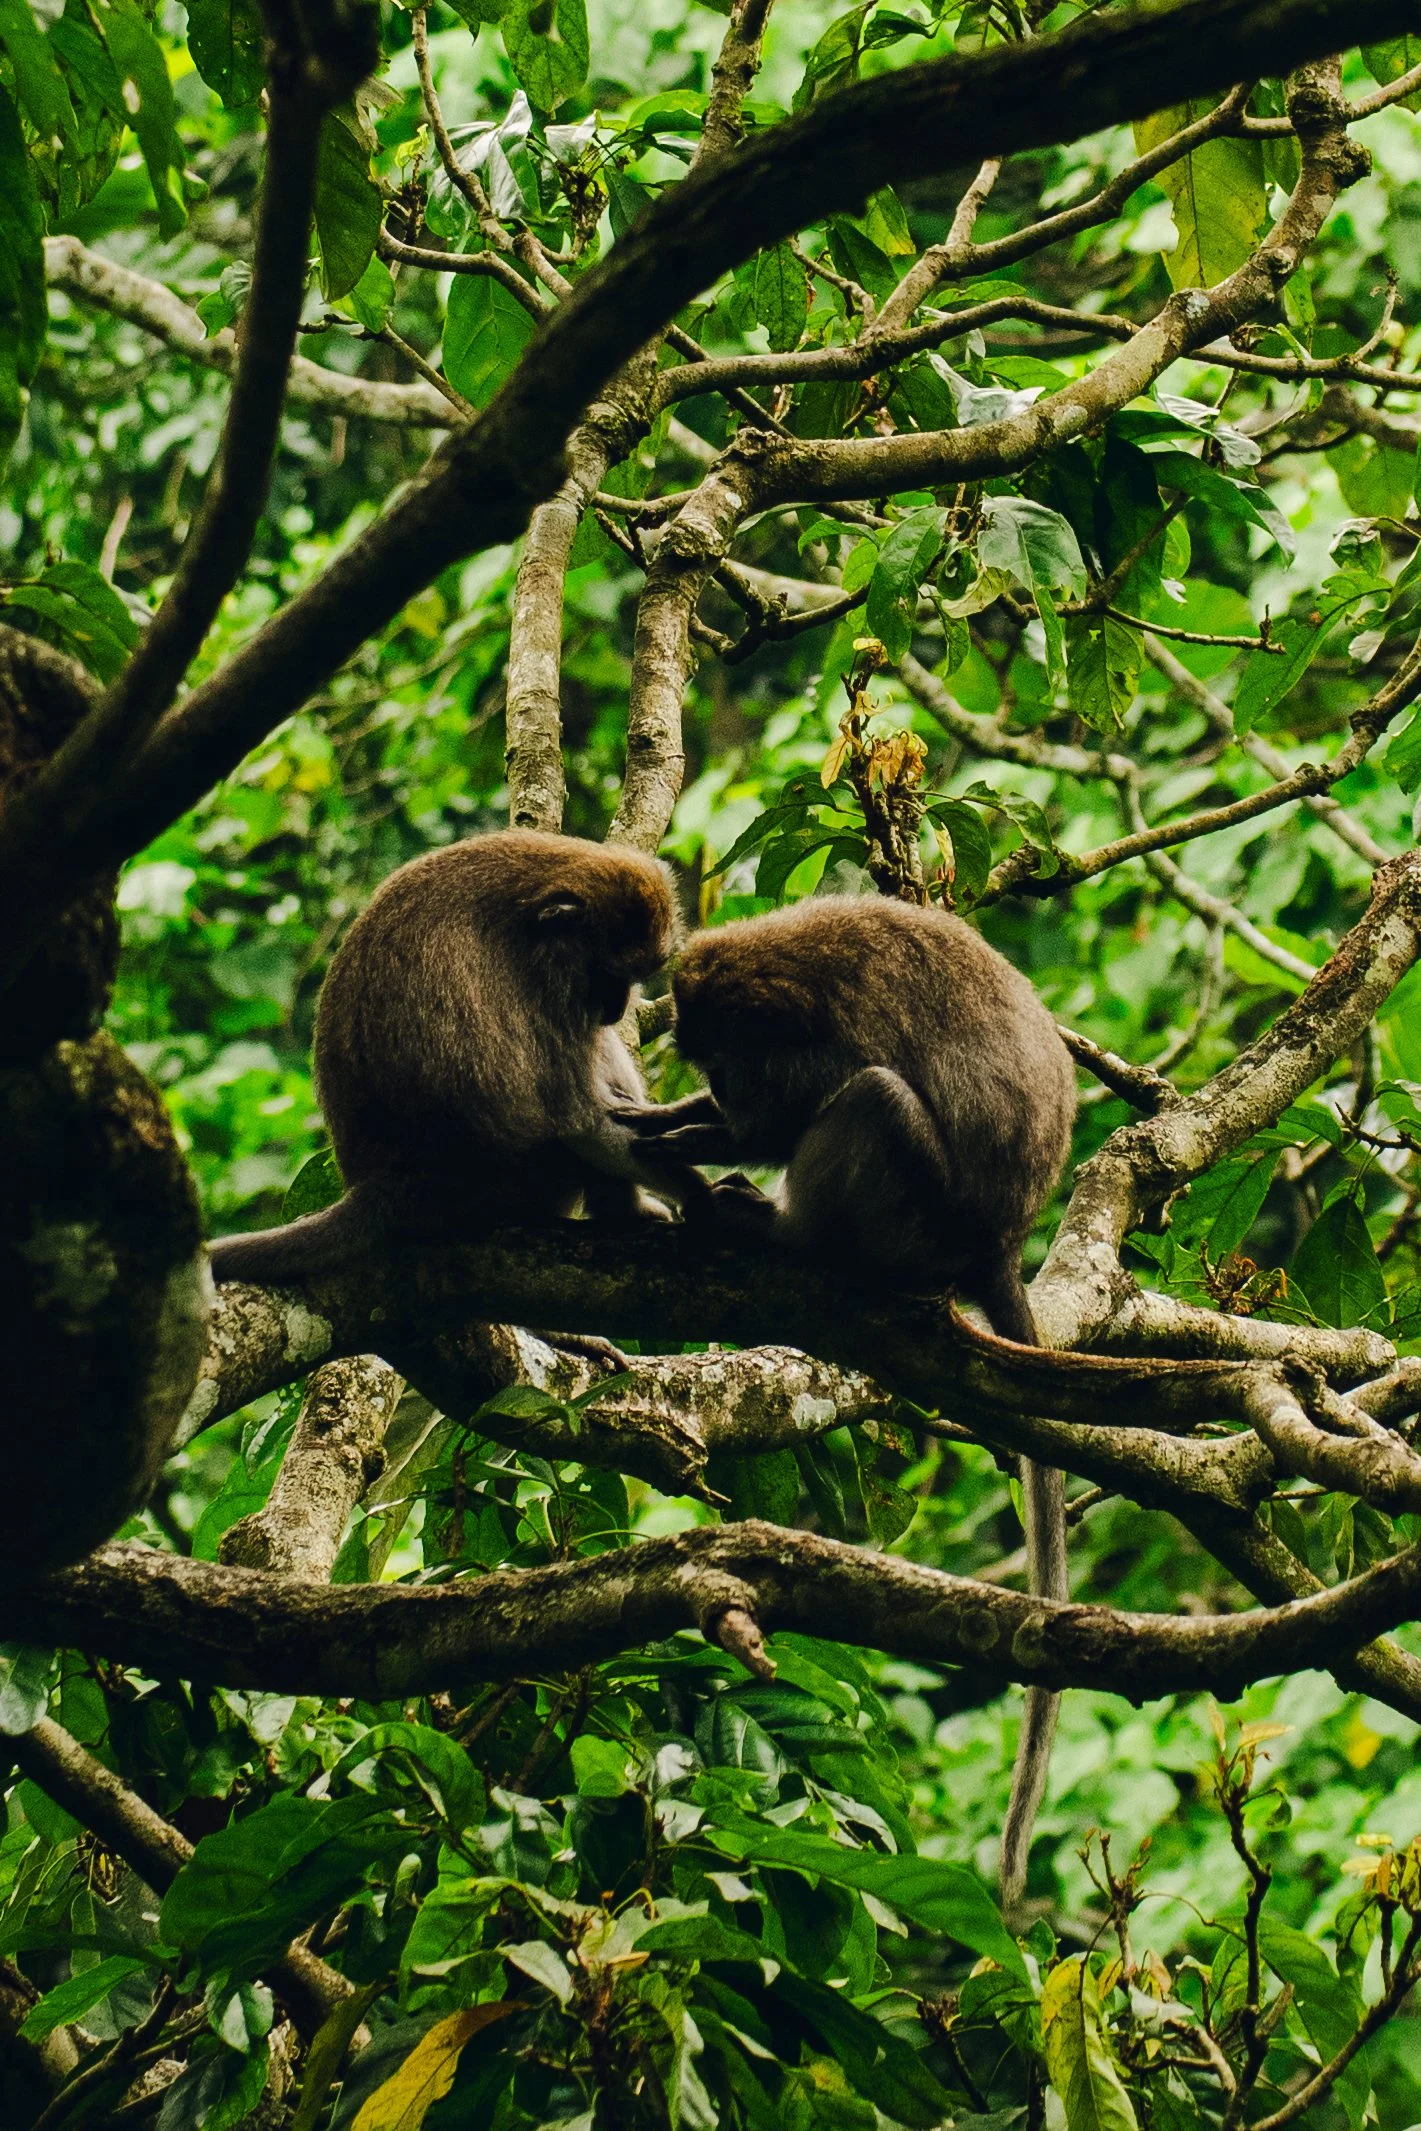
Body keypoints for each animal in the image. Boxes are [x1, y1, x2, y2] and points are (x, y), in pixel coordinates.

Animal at [207, 829, 700, 1285]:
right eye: (607, 975)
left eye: (635, 977)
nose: (616, 1008)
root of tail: (384, 1185)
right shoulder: (550, 992)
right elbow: (581, 1121)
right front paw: (699, 1192)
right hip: (514, 1187)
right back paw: (622, 1210)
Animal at [618, 893, 1077, 1913]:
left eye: (729, 1057)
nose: (720, 1090)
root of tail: (995, 1245)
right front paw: (663, 1116)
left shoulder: (814, 1044)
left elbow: (796, 1114)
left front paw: (706, 1135)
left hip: (914, 1223)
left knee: (876, 1101)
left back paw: (787, 1235)